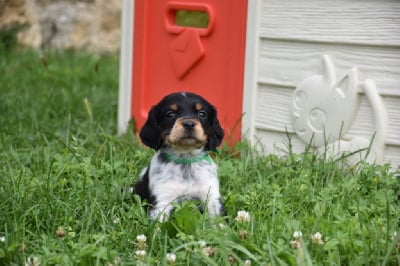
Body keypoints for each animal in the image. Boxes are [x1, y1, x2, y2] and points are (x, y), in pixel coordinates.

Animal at [134, 92, 225, 221]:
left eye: (202, 113)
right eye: (170, 114)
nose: (189, 124)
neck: (186, 160)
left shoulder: (210, 195)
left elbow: (218, 219)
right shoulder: (163, 199)